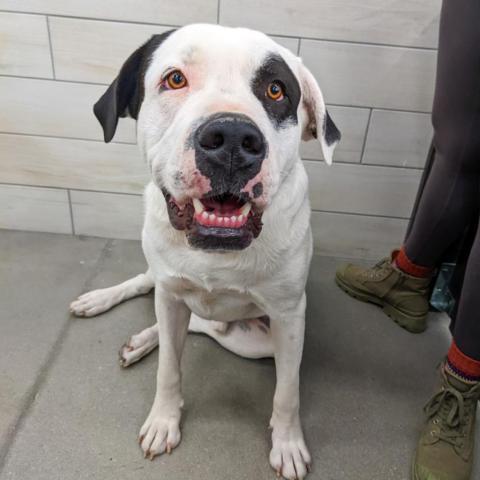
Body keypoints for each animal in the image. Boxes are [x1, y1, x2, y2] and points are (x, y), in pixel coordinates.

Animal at [69, 23, 340, 480]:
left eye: (276, 90)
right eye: (175, 79)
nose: (231, 138)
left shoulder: (289, 317)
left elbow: (287, 392)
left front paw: (287, 444)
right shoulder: (169, 291)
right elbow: (169, 369)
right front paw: (163, 421)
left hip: (256, 340)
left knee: (201, 325)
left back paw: (145, 338)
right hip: (165, 283)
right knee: (151, 289)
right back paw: (104, 304)